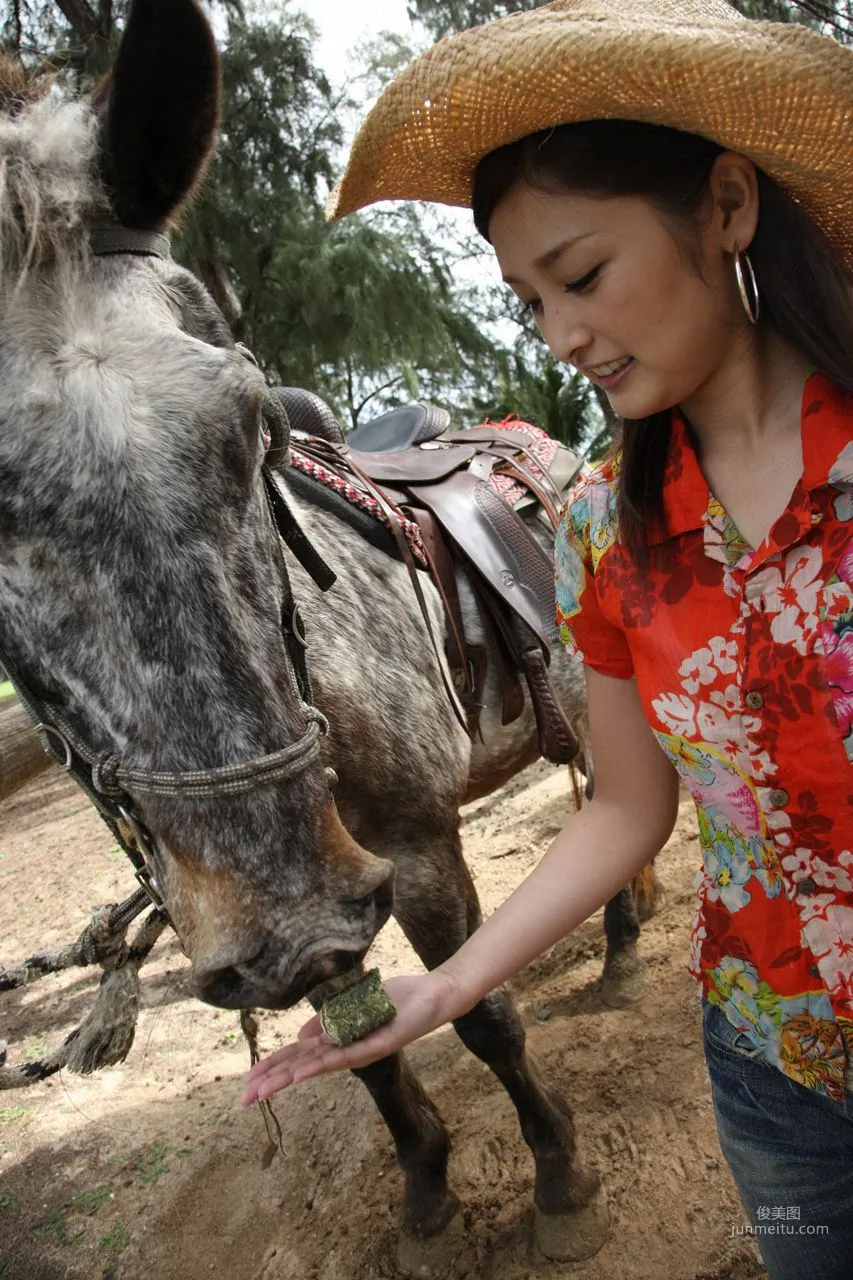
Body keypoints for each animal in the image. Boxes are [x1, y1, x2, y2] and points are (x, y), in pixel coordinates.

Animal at [0, 0, 650, 1269]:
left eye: (253, 416)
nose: (293, 911)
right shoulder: (257, 911)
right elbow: (360, 1048)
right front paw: (426, 1185)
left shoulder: (408, 848)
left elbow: (481, 1009)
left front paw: (555, 1176)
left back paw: (614, 944)